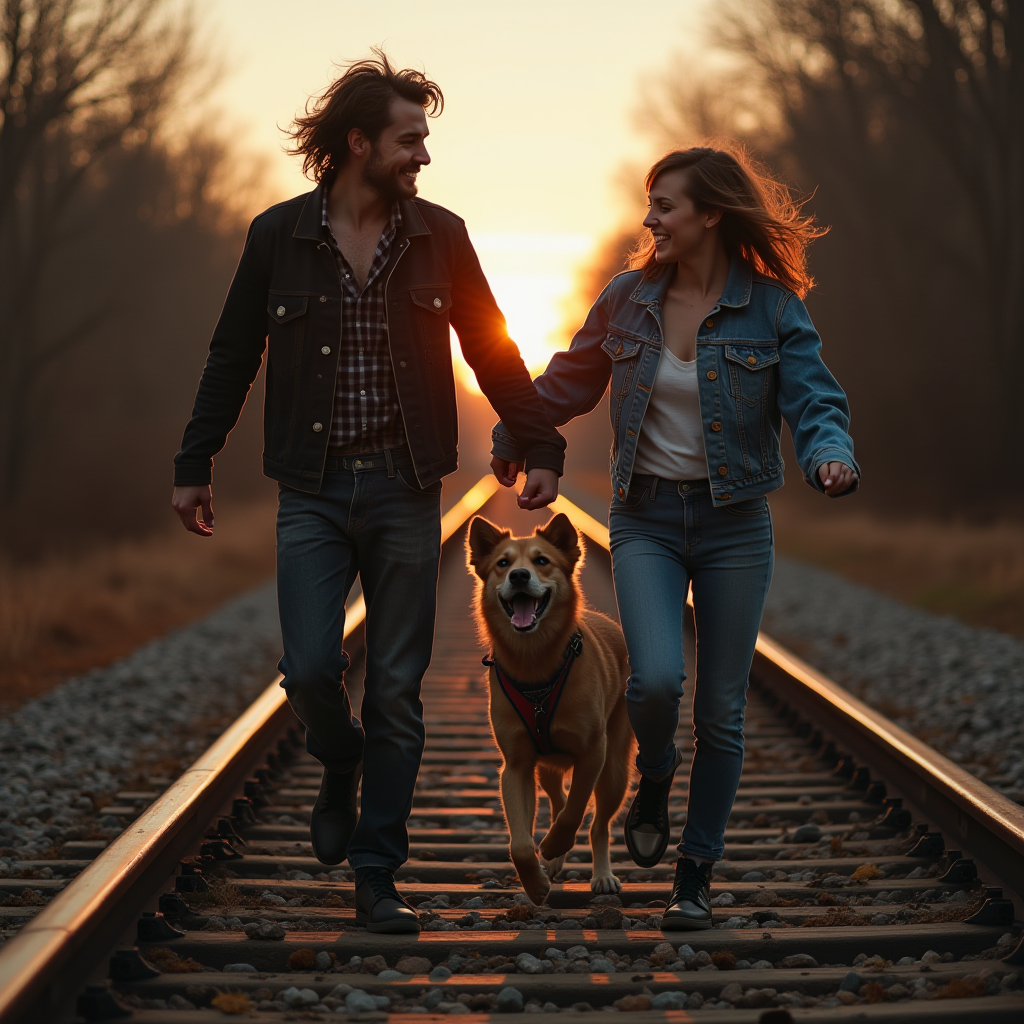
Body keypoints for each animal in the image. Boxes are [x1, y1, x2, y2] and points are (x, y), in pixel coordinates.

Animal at [468, 516, 630, 901]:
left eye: (542, 561)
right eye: (503, 564)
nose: (519, 576)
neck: (535, 663)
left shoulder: (593, 753)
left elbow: (576, 812)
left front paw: (555, 845)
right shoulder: (516, 766)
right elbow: (520, 844)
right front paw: (537, 882)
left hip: (615, 770)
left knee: (597, 823)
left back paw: (601, 874)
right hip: (547, 768)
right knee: (558, 799)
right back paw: (553, 863)